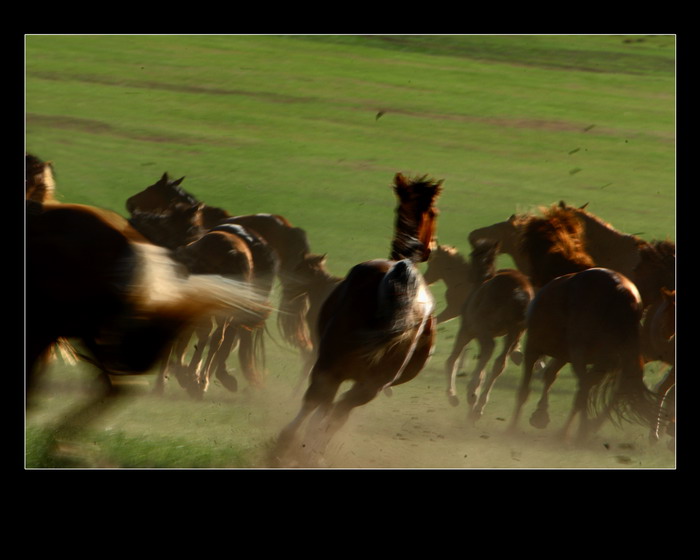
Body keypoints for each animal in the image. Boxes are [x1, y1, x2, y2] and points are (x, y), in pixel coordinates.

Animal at [274, 173, 442, 466]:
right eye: (434, 212)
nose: (432, 247)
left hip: (338, 368)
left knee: (322, 402)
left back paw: (291, 446)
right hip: (362, 382)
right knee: (330, 407)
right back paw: (301, 449)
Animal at [446, 240, 532, 420]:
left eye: (471, 254)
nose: (469, 275)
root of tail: (519, 292)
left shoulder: (467, 329)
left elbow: (452, 360)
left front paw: (453, 396)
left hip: (483, 328)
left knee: (489, 348)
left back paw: (472, 393)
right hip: (515, 331)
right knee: (500, 362)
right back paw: (478, 406)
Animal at [506, 205, 660, 442]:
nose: (530, 278)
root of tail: (621, 292)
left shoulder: (534, 347)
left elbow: (524, 390)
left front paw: (513, 426)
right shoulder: (562, 354)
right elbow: (549, 376)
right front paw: (540, 414)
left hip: (584, 355)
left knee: (584, 388)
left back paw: (575, 433)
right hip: (607, 361)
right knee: (587, 390)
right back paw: (576, 431)